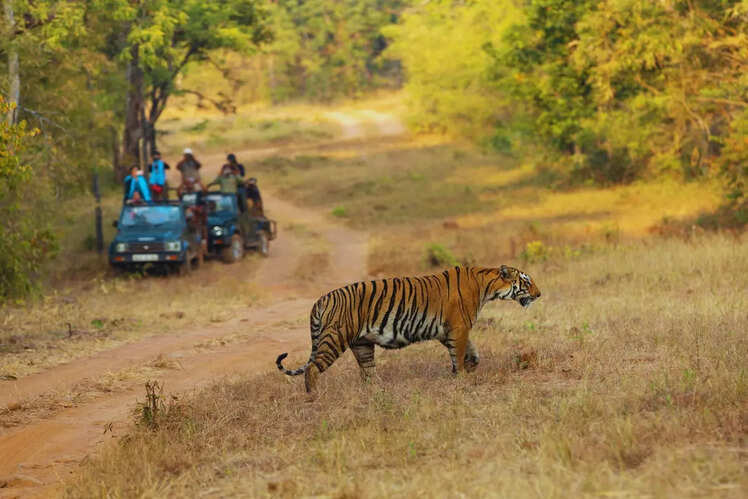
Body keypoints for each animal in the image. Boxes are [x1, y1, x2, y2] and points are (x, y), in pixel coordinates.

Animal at [276, 265, 541, 392]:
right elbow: (459, 354)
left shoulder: (448, 331)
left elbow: (472, 351)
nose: (539, 294)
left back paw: (379, 392)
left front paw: (471, 366)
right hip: (335, 338)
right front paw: (462, 377)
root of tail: (321, 299)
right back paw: (313, 398)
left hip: (362, 345)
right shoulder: (458, 327)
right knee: (312, 368)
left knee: (368, 373)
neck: (486, 285)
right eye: (526, 281)